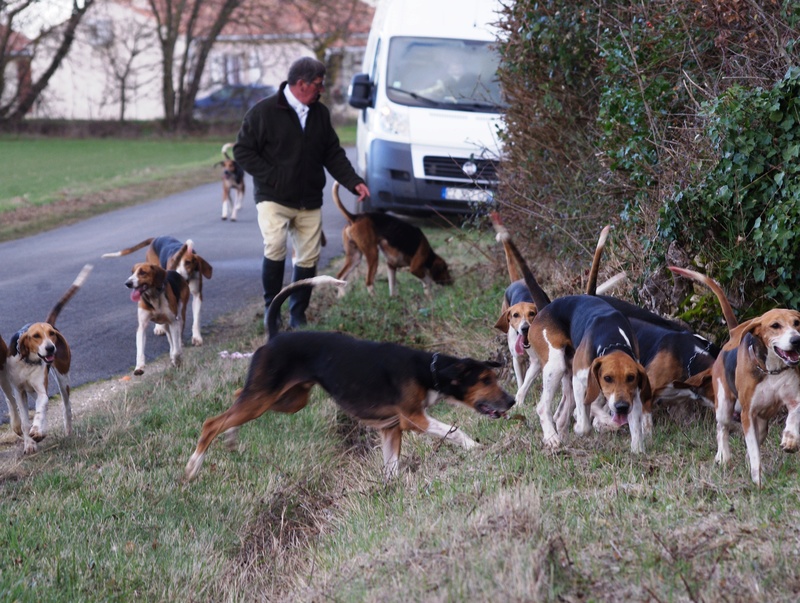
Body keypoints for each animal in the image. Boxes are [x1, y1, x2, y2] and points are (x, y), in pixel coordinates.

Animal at [3, 264, 91, 452]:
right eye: (36, 336)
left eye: (51, 334)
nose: (51, 347)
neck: (27, 362)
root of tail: (49, 320)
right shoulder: (19, 391)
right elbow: (24, 422)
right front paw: (29, 444)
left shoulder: (41, 390)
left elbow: (41, 408)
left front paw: (37, 430)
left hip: (63, 380)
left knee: (66, 408)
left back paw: (65, 430)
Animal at [184, 278, 512, 482]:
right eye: (485, 380)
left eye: (493, 377)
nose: (511, 401)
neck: (427, 369)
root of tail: (275, 336)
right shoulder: (414, 419)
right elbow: (455, 432)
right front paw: (476, 448)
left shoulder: (391, 429)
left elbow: (391, 466)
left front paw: (391, 489)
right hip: (264, 398)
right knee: (211, 423)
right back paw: (192, 467)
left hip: (287, 399)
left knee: (236, 398)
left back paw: (231, 437)